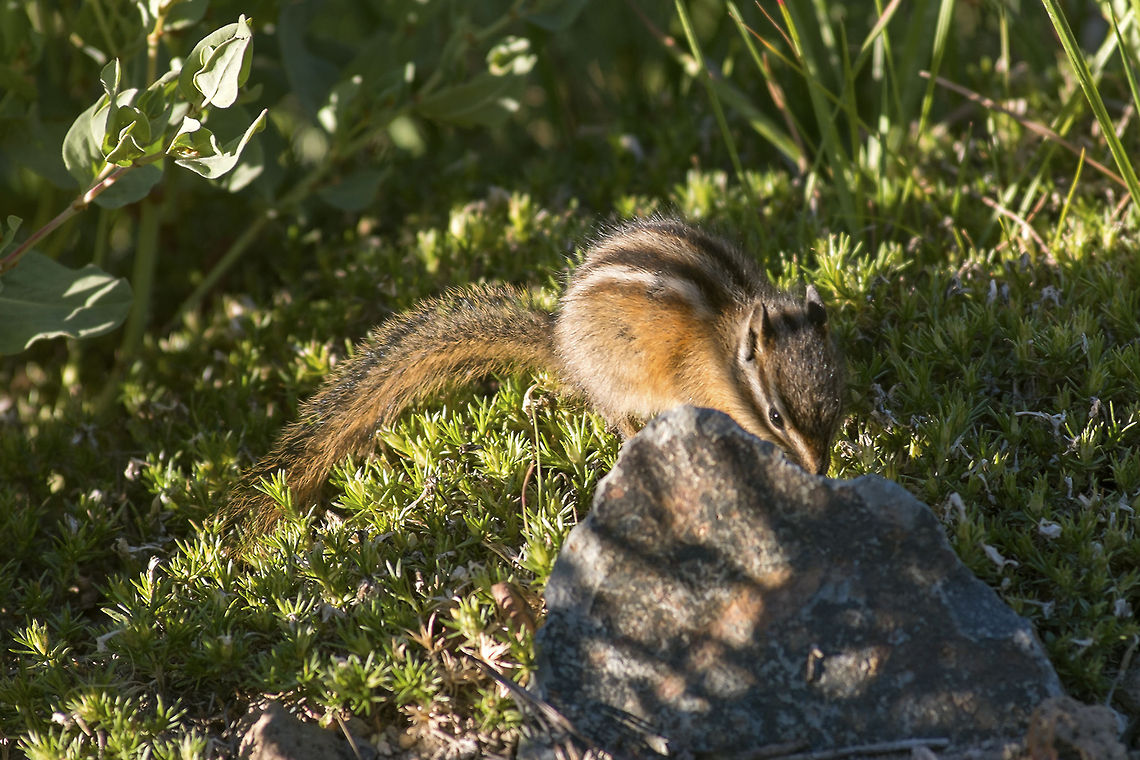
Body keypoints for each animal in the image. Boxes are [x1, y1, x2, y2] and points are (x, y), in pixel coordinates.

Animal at [230, 218, 845, 533]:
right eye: (775, 416)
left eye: (837, 404)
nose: (820, 472)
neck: (725, 345)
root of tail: (562, 345)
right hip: (616, 382)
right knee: (616, 417)